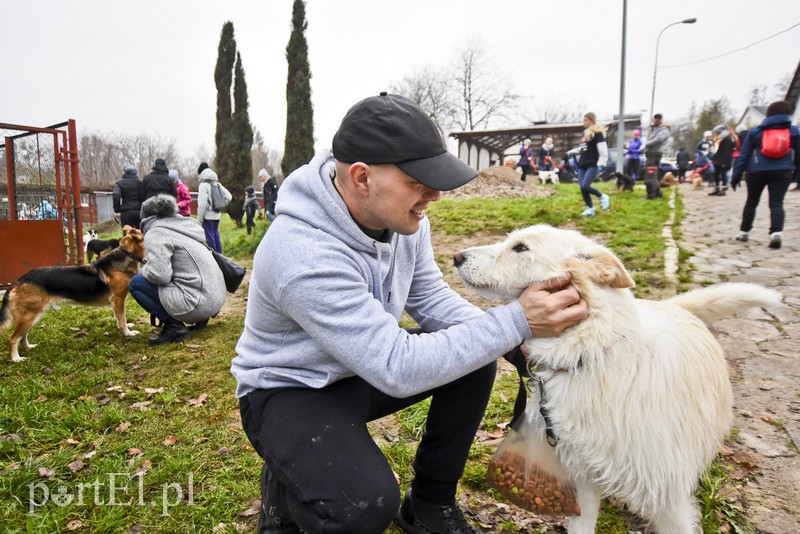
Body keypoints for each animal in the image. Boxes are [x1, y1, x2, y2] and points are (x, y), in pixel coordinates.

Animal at [1, 224, 145, 362]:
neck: (126, 254)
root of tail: (19, 281)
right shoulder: (119, 299)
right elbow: (122, 319)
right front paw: (128, 333)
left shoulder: (115, 303)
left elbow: (118, 318)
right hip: (30, 316)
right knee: (12, 339)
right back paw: (16, 359)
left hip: (31, 316)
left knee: (22, 336)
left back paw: (28, 347)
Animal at [456, 226, 780, 534]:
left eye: (521, 247)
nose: (457, 257)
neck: (589, 354)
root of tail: (673, 305)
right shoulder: (583, 482)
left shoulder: (669, 499)